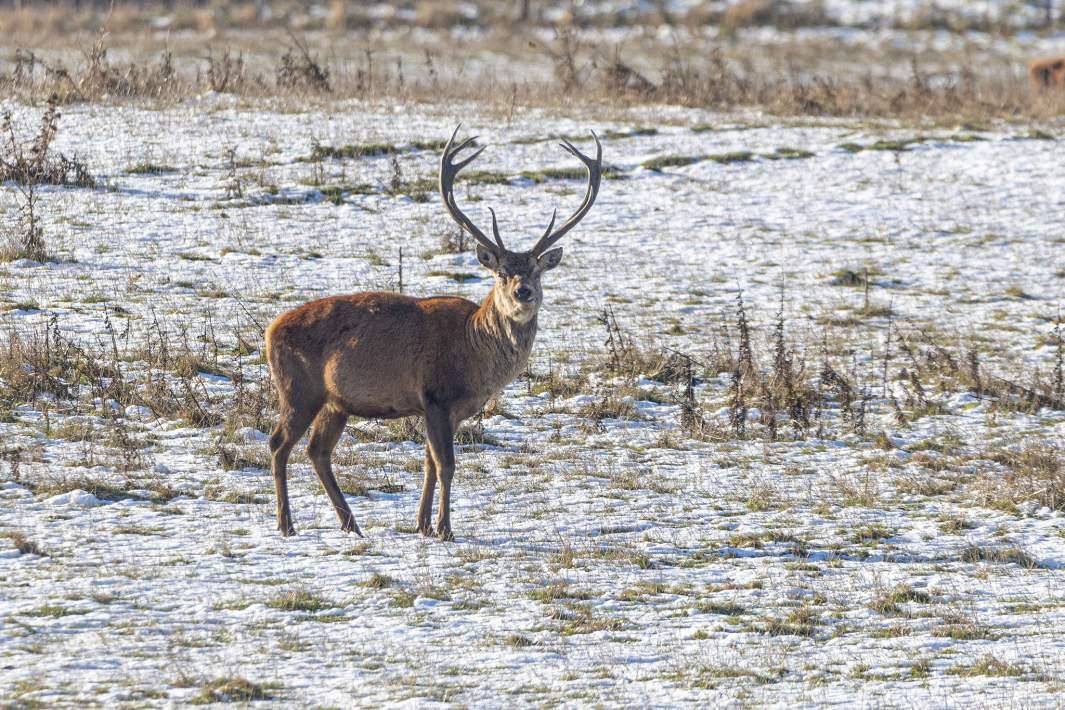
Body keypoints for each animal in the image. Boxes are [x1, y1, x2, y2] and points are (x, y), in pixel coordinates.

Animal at [263, 126, 604, 538]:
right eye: (501, 272)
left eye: (537, 271)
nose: (523, 292)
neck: (475, 353)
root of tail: (271, 329)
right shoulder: (436, 396)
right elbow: (447, 465)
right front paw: (445, 528)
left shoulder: (448, 409)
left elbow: (429, 463)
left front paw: (422, 524)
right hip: (299, 388)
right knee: (278, 443)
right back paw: (286, 524)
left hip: (335, 401)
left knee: (318, 450)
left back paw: (350, 523)